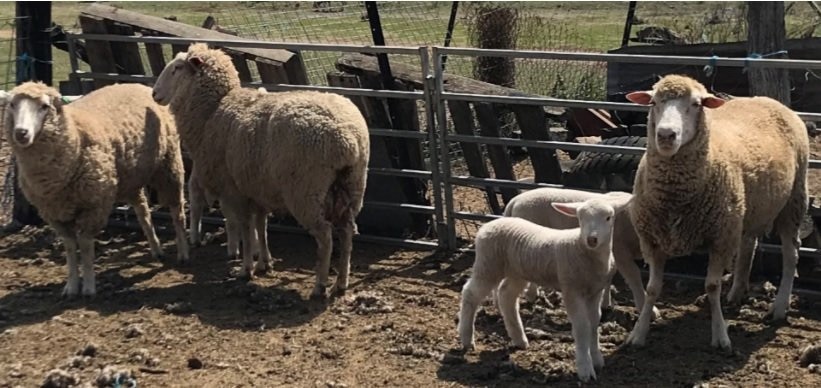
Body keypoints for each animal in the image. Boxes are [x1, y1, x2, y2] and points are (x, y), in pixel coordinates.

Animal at [0, 82, 189, 298]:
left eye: (44, 106)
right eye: (12, 105)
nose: (21, 133)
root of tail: (138, 85)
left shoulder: (94, 205)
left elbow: (85, 245)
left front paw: (89, 287)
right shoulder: (54, 213)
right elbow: (70, 247)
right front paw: (71, 286)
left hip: (169, 165)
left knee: (177, 212)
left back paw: (183, 252)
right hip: (130, 180)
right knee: (143, 212)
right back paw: (156, 249)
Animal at [152, 43, 370, 298]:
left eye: (177, 68)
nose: (154, 94)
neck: (212, 111)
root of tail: (347, 138)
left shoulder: (234, 190)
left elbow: (246, 228)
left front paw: (246, 269)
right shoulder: (257, 187)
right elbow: (261, 225)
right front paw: (264, 263)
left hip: (306, 191)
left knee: (325, 236)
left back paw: (320, 285)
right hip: (352, 186)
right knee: (346, 232)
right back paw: (341, 283)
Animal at [454, 194, 628, 382]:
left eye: (608, 217)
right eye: (580, 218)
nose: (592, 239)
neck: (581, 248)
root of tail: (491, 224)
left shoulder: (595, 291)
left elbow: (594, 323)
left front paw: (597, 359)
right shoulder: (571, 289)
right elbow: (582, 327)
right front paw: (585, 369)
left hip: (517, 271)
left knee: (506, 295)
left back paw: (519, 339)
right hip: (489, 263)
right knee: (470, 294)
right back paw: (466, 338)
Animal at [500, 187, 660, 318]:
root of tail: (515, 200)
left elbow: (609, 277)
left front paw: (605, 302)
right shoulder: (621, 251)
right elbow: (634, 277)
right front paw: (647, 309)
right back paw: (531, 295)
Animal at [620, 74, 808, 350]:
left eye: (696, 104)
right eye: (653, 102)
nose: (666, 135)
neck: (676, 196)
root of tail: (769, 100)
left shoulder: (720, 238)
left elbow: (711, 286)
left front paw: (720, 336)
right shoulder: (652, 239)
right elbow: (653, 288)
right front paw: (638, 333)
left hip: (792, 201)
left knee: (791, 254)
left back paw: (779, 307)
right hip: (746, 210)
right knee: (748, 245)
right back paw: (737, 292)